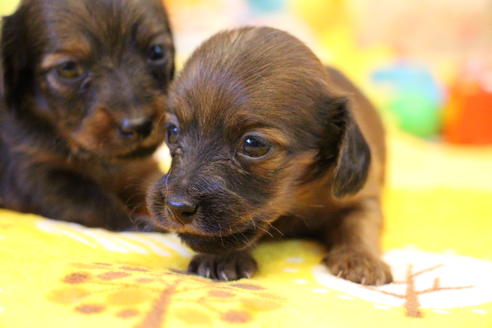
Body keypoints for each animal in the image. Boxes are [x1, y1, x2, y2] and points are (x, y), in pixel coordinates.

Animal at [0, 0, 175, 231]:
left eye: (157, 51)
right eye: (68, 68)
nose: (140, 125)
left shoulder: (140, 167)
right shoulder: (34, 173)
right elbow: (98, 204)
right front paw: (144, 225)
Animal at [148, 26, 394, 284]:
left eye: (253, 144)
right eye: (172, 132)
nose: (176, 207)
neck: (296, 201)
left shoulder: (363, 198)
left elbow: (359, 224)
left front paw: (361, 258)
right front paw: (221, 257)